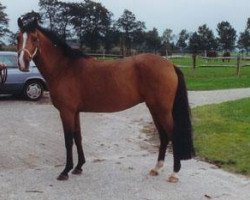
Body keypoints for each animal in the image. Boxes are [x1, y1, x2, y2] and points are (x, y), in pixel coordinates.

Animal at [16, 18, 194, 182]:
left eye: (34, 39)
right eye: (18, 38)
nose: (22, 64)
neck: (64, 68)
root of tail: (170, 65)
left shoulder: (66, 112)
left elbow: (68, 141)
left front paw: (65, 171)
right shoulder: (75, 112)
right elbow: (78, 137)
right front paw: (79, 167)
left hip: (162, 110)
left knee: (172, 135)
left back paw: (174, 173)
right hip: (154, 109)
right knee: (163, 136)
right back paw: (156, 168)